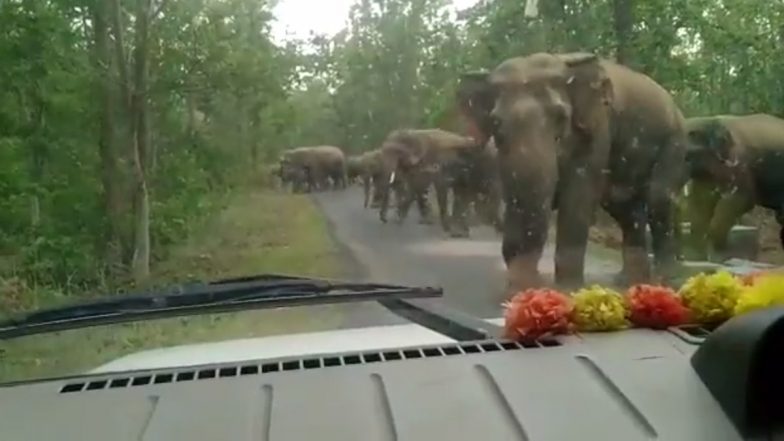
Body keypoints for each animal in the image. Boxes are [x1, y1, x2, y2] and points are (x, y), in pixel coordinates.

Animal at [460, 51, 688, 290]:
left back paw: (666, 279)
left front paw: (568, 289)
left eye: (561, 117)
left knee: (658, 196)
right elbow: (514, 192)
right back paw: (630, 281)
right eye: (495, 122)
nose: (533, 280)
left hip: (674, 140)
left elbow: (578, 194)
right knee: (623, 207)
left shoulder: (597, 124)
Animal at [680, 113, 784, 260]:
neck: (711, 120)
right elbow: (702, 202)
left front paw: (719, 251)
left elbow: (741, 200)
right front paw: (697, 253)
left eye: (686, 156)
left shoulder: (740, 163)